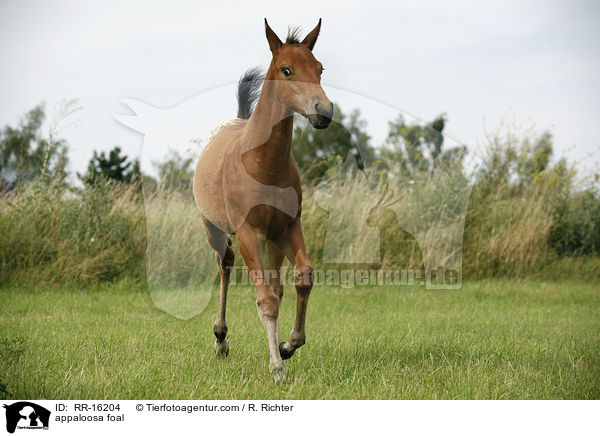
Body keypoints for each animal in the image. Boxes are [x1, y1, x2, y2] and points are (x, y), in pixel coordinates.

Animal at [192, 19, 332, 382]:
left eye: (320, 69)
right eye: (286, 69)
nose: (324, 112)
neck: (262, 162)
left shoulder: (288, 227)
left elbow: (302, 278)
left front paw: (288, 345)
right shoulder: (248, 233)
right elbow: (264, 300)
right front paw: (277, 367)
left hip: (272, 240)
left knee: (276, 285)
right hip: (214, 228)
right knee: (225, 263)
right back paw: (221, 339)